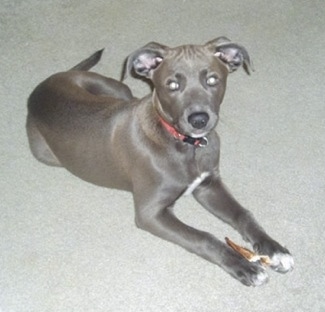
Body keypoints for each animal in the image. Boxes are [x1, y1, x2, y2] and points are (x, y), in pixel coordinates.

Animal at [26, 36, 294, 286]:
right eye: (172, 85)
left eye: (212, 80)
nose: (199, 119)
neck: (186, 145)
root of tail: (44, 85)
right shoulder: (151, 213)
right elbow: (203, 237)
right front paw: (245, 266)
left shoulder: (208, 185)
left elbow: (243, 214)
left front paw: (274, 249)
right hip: (48, 154)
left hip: (120, 91)